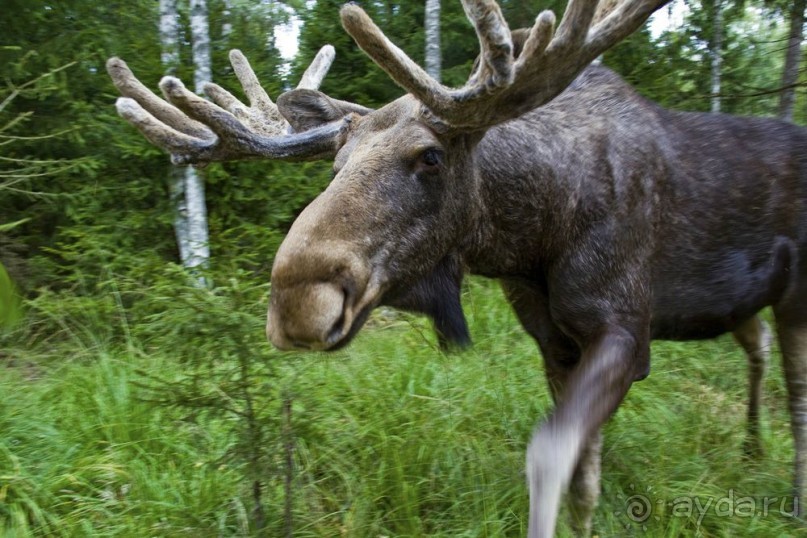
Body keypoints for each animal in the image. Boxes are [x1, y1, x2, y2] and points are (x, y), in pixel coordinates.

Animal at [109, 0, 807, 532]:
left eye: (431, 156)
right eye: (335, 163)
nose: (297, 302)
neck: (533, 235)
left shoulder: (625, 329)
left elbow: (550, 455)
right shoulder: (554, 340)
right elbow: (584, 475)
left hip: (797, 297)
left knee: (795, 391)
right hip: (741, 303)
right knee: (758, 348)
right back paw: (751, 447)